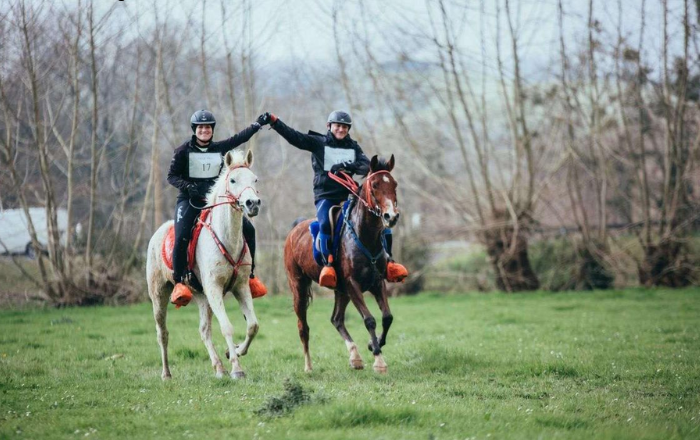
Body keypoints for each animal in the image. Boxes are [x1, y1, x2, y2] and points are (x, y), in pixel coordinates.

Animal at [145, 150, 262, 380]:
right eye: (233, 180)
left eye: (254, 179)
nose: (252, 203)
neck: (226, 238)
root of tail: (157, 233)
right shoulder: (214, 288)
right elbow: (227, 327)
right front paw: (237, 368)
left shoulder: (240, 286)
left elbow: (252, 325)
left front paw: (233, 352)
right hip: (159, 294)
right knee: (162, 333)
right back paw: (166, 373)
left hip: (201, 296)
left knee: (204, 330)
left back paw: (219, 367)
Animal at [284, 155, 400, 372]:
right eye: (374, 185)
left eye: (394, 184)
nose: (392, 216)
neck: (364, 236)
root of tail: (295, 229)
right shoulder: (353, 284)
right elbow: (369, 319)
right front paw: (379, 359)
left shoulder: (376, 282)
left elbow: (387, 317)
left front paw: (373, 345)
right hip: (299, 286)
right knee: (303, 326)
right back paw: (308, 366)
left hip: (341, 291)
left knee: (336, 319)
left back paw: (355, 356)